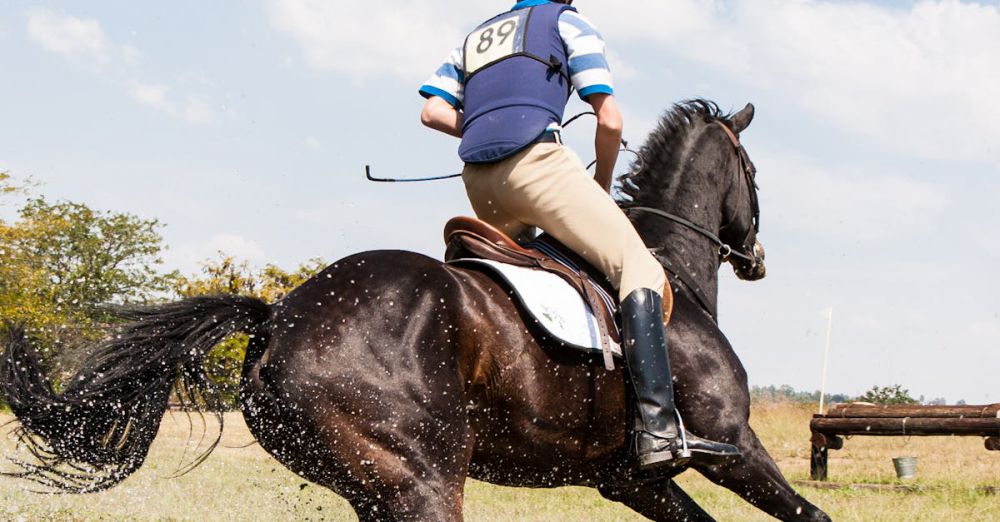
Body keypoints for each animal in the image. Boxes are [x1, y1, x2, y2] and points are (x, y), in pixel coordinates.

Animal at [0, 99, 828, 516]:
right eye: (755, 176)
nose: (756, 257)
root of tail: (279, 316)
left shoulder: (629, 481)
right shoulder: (731, 447)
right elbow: (808, 514)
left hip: (375, 487)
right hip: (422, 479)